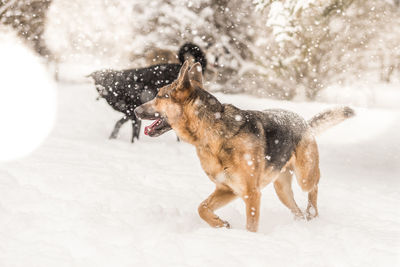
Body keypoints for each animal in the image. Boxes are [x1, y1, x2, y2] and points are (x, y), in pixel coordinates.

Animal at [134, 60, 354, 232]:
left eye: (160, 96)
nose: (135, 110)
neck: (212, 134)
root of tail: (303, 122)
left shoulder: (251, 194)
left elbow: (250, 226)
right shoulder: (227, 189)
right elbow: (202, 208)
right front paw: (220, 225)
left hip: (305, 176)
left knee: (314, 187)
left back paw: (312, 212)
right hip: (281, 189)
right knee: (296, 209)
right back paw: (301, 223)